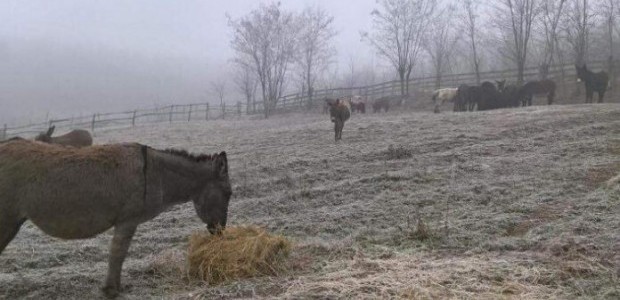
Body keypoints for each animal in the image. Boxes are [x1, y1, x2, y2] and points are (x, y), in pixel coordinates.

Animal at [0, 139, 232, 298]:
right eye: (228, 193)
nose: (220, 231)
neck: (156, 173)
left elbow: (118, 255)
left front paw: (115, 287)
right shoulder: (127, 221)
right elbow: (118, 254)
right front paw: (112, 290)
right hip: (7, 220)